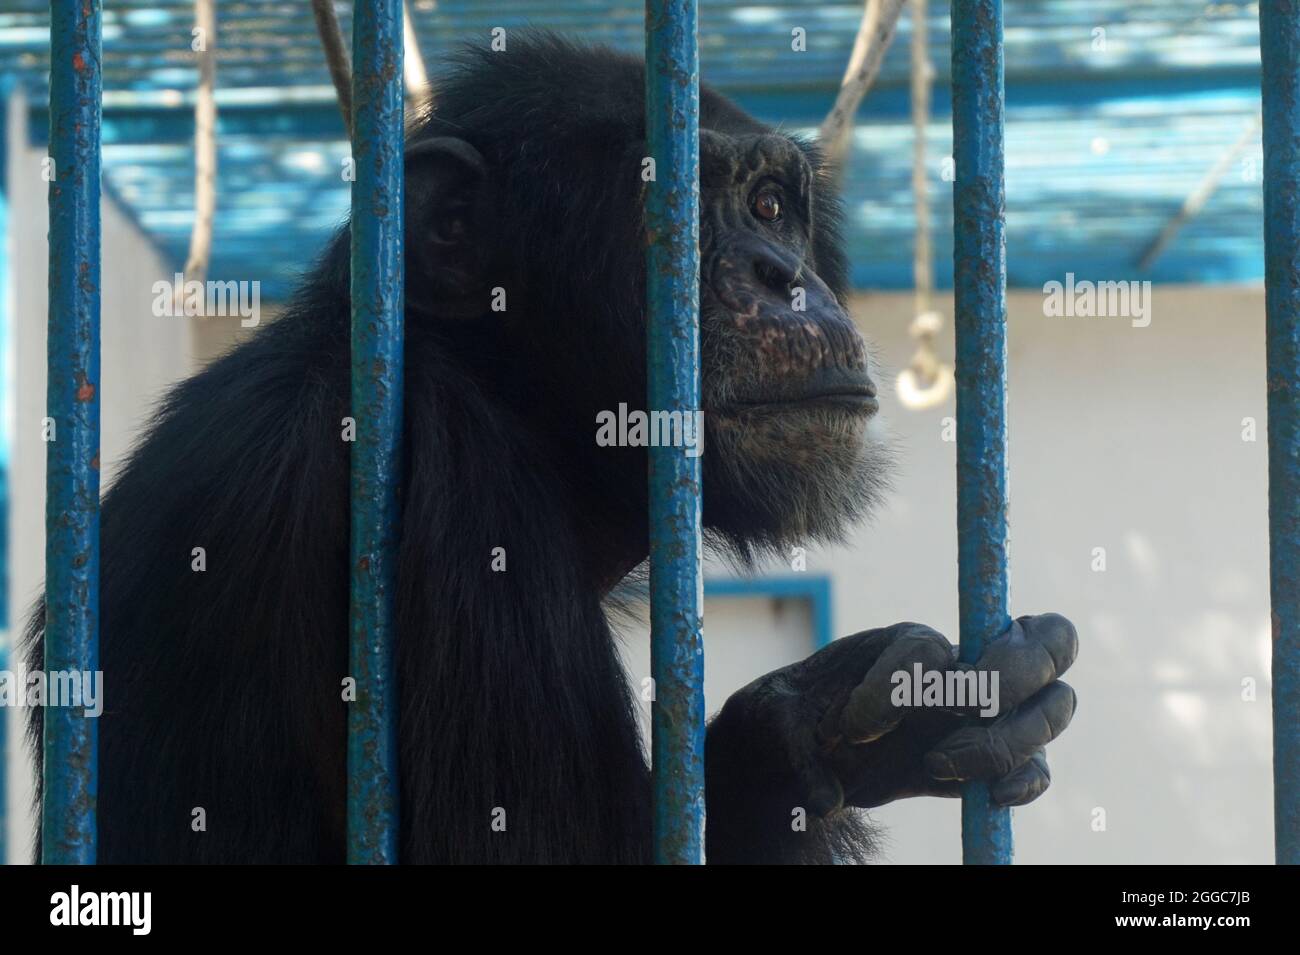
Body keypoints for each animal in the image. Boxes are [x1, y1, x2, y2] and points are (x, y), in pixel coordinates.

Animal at [25, 33, 1076, 862]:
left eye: (772, 207)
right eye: (677, 208)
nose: (784, 277)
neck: (501, 386)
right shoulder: (467, 509)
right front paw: (795, 730)